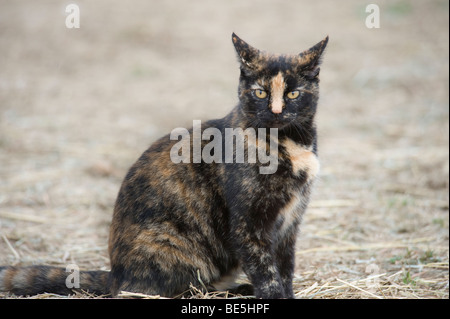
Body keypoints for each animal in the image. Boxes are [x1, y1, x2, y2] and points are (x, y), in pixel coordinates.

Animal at [0, 33, 326, 300]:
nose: (276, 111)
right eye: (260, 92)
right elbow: (266, 273)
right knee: (183, 289)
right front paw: (271, 293)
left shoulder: (289, 224)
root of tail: (115, 275)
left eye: (293, 93)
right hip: (174, 245)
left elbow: (285, 269)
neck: (290, 145)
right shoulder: (248, 224)